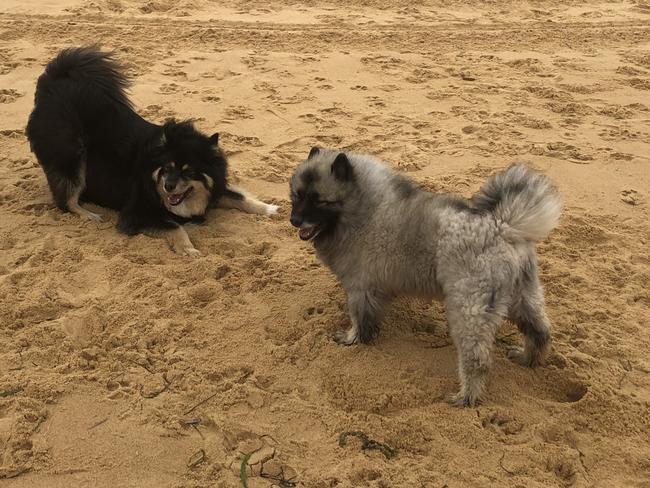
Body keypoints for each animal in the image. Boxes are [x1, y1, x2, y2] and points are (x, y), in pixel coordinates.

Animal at [24, 47, 274, 258]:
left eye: (188, 171)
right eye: (167, 168)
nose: (168, 187)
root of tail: (53, 83)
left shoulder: (216, 187)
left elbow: (240, 197)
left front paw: (268, 209)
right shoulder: (136, 214)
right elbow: (175, 227)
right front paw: (188, 250)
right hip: (73, 158)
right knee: (66, 200)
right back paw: (89, 215)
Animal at [288, 147, 560, 406]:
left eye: (319, 201)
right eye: (297, 196)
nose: (294, 220)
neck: (361, 209)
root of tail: (503, 227)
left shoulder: (360, 289)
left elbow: (359, 320)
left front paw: (351, 339)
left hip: (468, 310)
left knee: (477, 358)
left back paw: (466, 397)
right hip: (522, 297)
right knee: (540, 330)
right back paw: (528, 359)